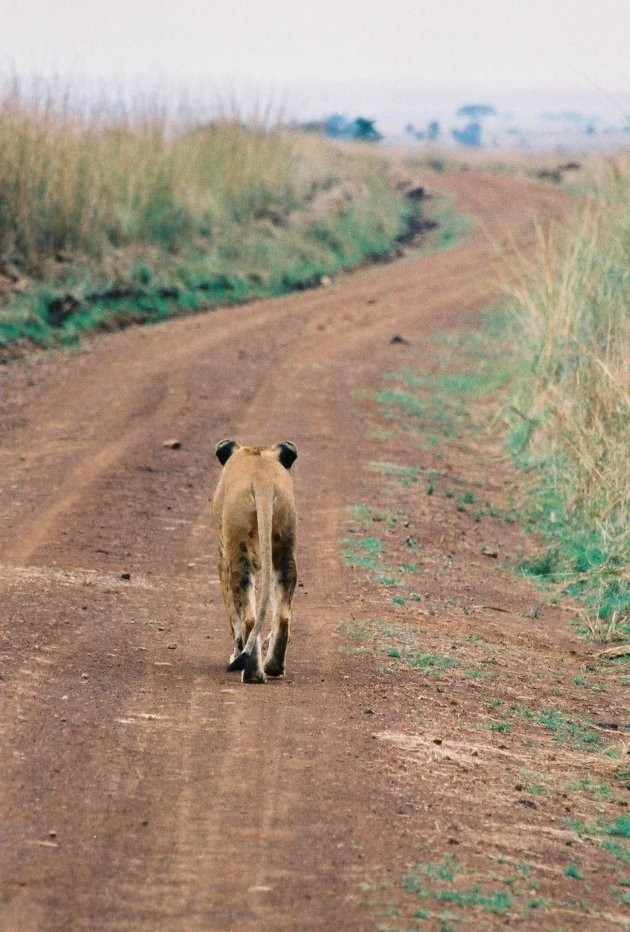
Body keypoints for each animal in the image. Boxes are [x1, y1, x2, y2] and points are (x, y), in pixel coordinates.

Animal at [214, 436, 300, 684]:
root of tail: (263, 482)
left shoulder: (223, 560)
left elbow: (234, 619)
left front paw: (235, 654)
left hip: (238, 554)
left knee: (249, 619)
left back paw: (251, 674)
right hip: (284, 548)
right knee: (283, 616)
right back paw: (273, 668)